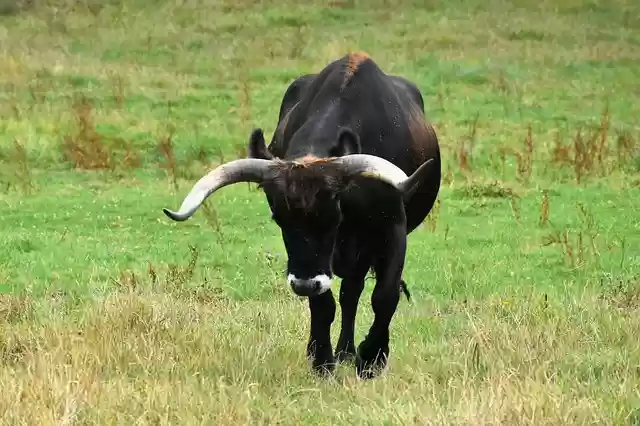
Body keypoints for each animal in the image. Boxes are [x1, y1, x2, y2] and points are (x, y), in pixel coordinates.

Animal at [162, 52, 441, 380]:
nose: (304, 285)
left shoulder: (392, 230)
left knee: (354, 291)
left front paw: (372, 359)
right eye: (279, 220)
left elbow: (384, 296)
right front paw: (322, 360)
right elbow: (324, 305)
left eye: (334, 218)